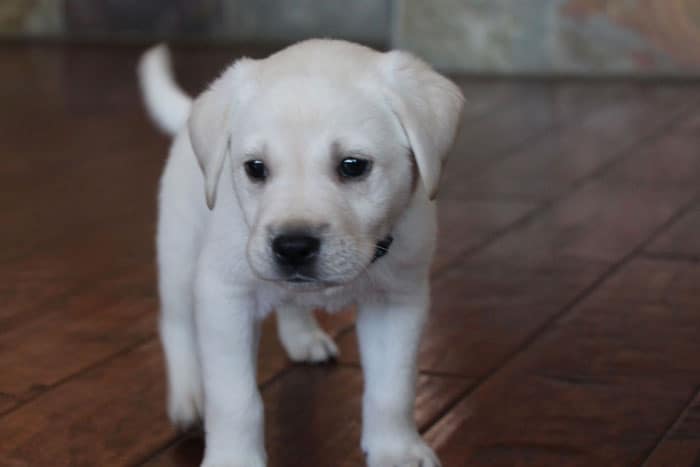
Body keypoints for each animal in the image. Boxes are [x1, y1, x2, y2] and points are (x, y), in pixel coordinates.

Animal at [137, 40, 464, 467]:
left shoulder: (397, 302)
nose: (292, 247)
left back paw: (303, 337)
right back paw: (188, 397)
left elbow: (393, 389)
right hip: (178, 253)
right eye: (255, 168)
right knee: (176, 325)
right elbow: (235, 398)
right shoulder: (225, 298)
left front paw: (396, 451)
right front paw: (233, 458)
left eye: (353, 166)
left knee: (290, 302)